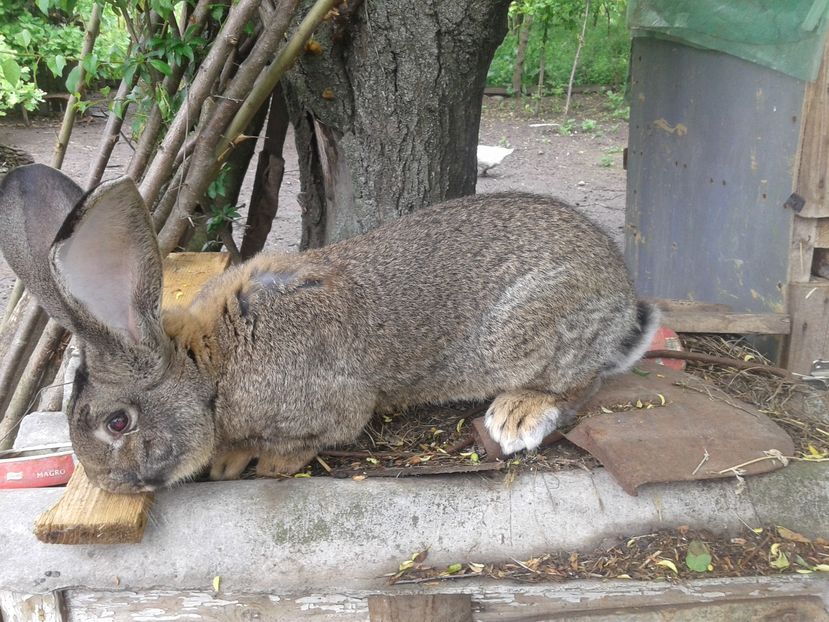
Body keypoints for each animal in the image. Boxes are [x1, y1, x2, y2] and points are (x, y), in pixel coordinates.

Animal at [1, 163, 660, 494]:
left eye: (118, 423)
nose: (109, 484)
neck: (209, 368)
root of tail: (619, 292)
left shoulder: (331, 407)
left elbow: (305, 443)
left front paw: (254, 465)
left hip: (532, 335)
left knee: (578, 384)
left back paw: (518, 414)